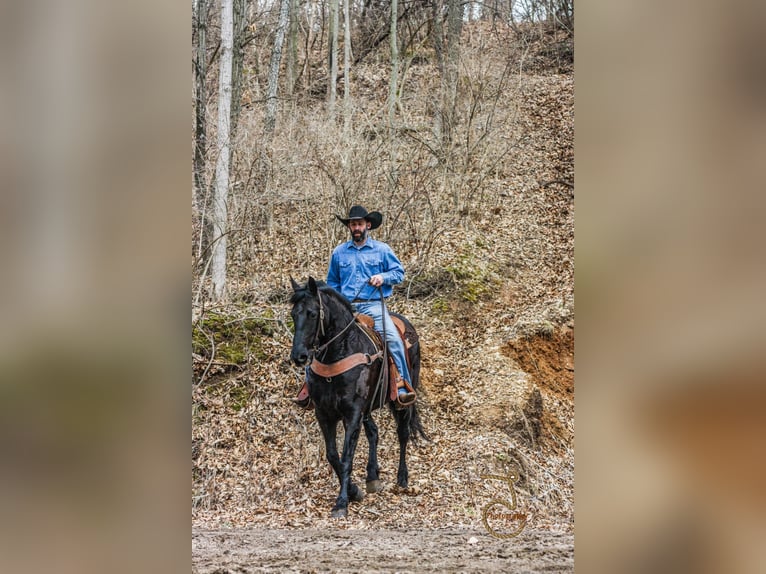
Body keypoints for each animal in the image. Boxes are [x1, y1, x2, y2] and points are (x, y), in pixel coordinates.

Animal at [292, 276, 428, 520]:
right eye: (292, 314)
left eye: (312, 313)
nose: (298, 356)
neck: (339, 352)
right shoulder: (324, 414)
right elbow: (333, 456)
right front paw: (354, 491)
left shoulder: (352, 413)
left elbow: (347, 456)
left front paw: (341, 503)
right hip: (367, 408)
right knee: (374, 432)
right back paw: (372, 476)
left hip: (401, 402)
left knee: (402, 433)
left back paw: (402, 479)